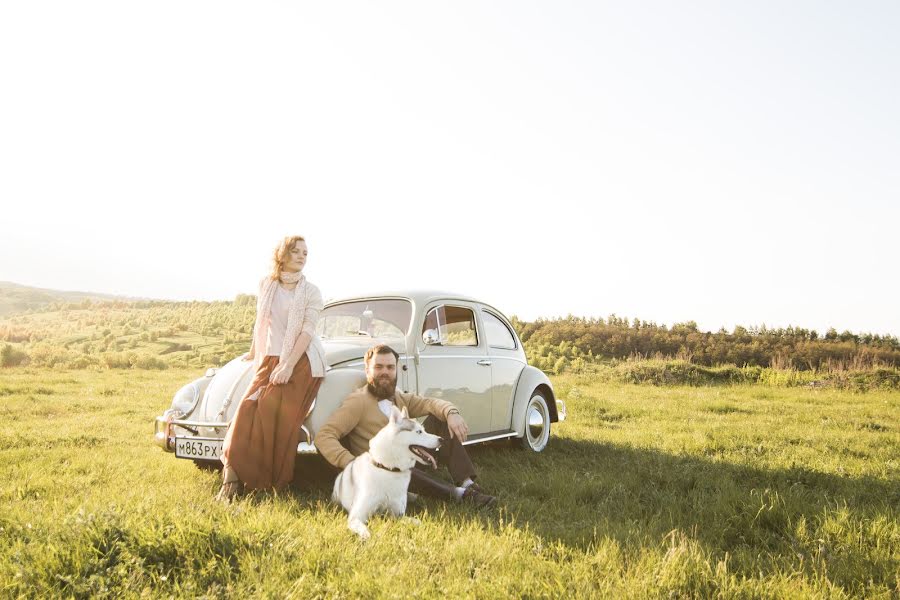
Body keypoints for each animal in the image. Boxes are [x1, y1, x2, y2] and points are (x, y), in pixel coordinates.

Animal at [332, 404, 442, 540]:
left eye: (424, 430)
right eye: (419, 432)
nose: (442, 439)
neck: (388, 469)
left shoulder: (397, 514)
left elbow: (418, 522)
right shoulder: (356, 516)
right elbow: (363, 529)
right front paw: (366, 536)